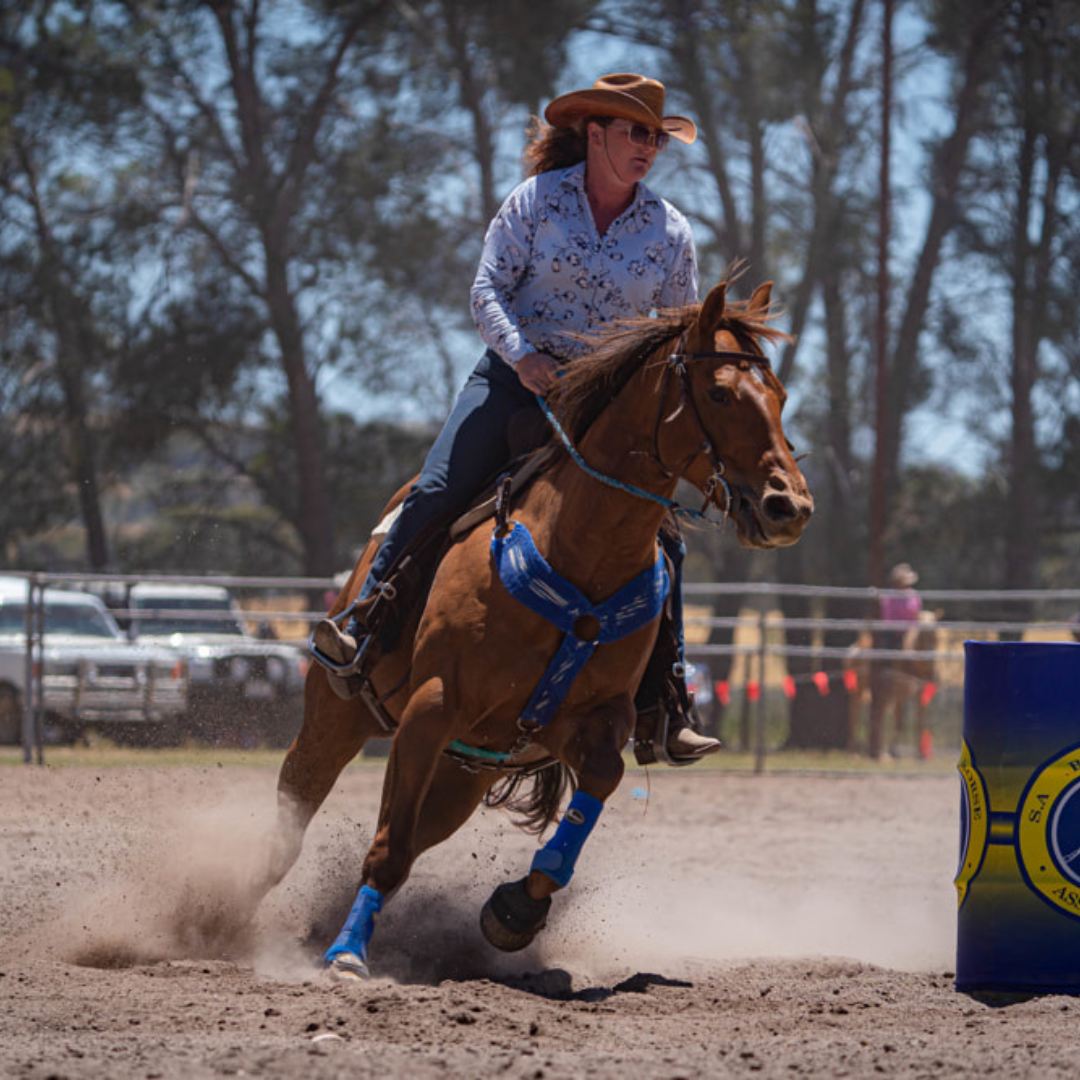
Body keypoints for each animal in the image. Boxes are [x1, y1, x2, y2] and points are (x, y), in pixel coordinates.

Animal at [254, 278, 812, 980]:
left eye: (781, 396)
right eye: (718, 393)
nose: (788, 506)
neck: (579, 550)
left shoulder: (593, 721)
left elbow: (599, 782)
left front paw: (517, 909)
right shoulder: (430, 710)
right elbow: (386, 848)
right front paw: (348, 954)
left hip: (466, 771)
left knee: (416, 831)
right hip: (339, 715)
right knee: (294, 816)